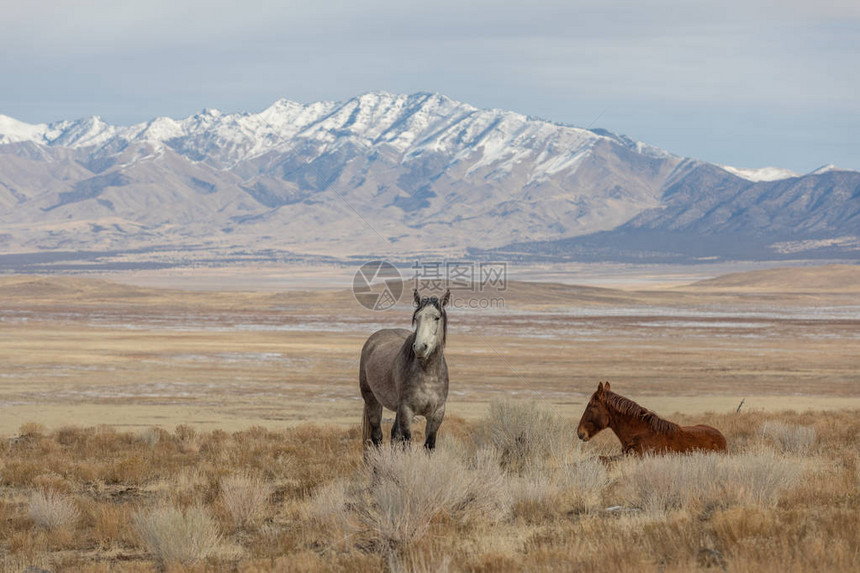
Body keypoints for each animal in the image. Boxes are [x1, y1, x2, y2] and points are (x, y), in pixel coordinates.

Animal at [358, 288, 450, 450]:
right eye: (417, 318)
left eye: (436, 318)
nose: (420, 347)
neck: (429, 375)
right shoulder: (407, 411)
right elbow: (406, 444)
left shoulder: (437, 413)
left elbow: (429, 445)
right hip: (372, 400)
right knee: (377, 436)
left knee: (394, 434)